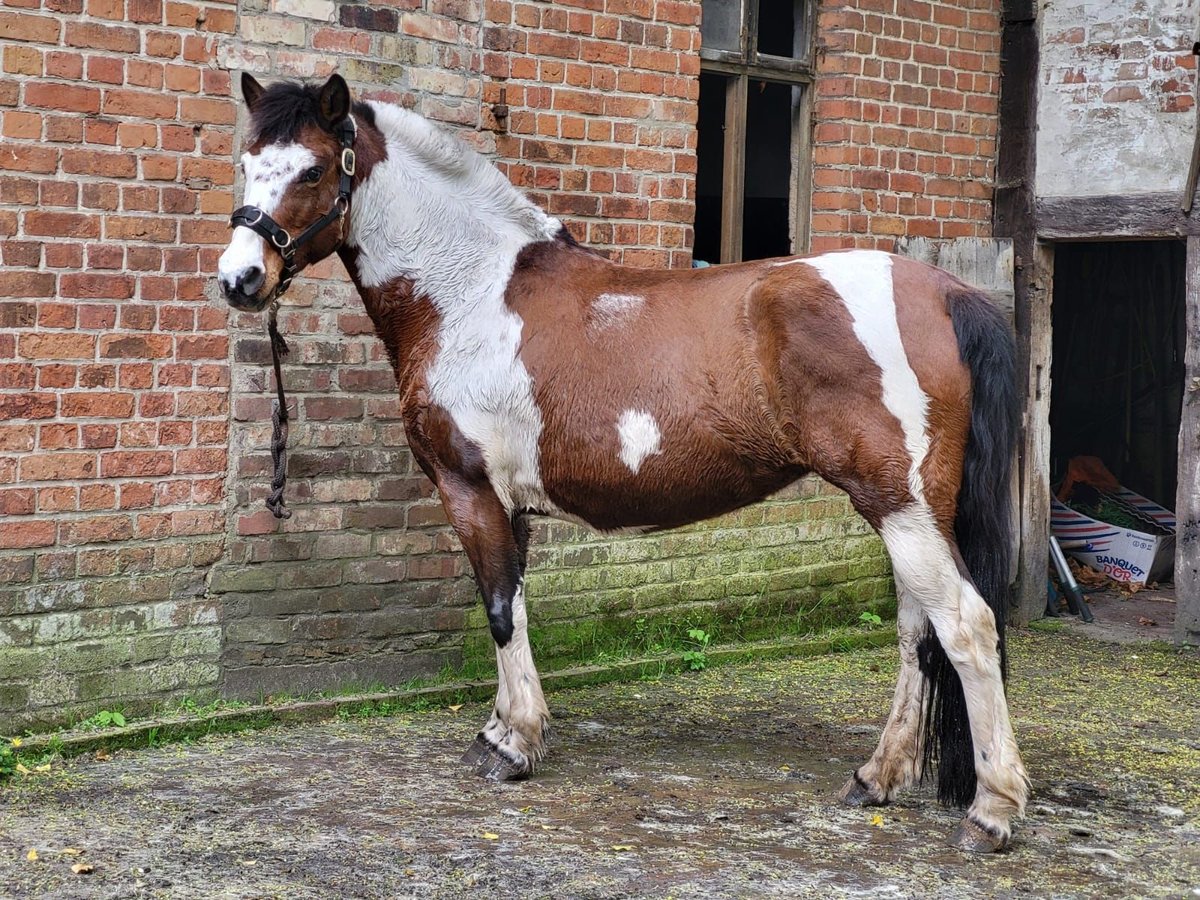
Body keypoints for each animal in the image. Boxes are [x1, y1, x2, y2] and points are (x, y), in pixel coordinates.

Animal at [218, 72, 1032, 854]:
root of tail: (946, 292)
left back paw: (990, 813)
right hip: (908, 510)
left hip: (901, 506)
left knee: (965, 627)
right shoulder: (512, 505)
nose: (239, 280)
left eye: (314, 169)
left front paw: (511, 747)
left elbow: (498, 610)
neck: (468, 293)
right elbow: (515, 604)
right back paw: (877, 777)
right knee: (918, 631)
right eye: (247, 164)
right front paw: (506, 728)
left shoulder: (468, 488)